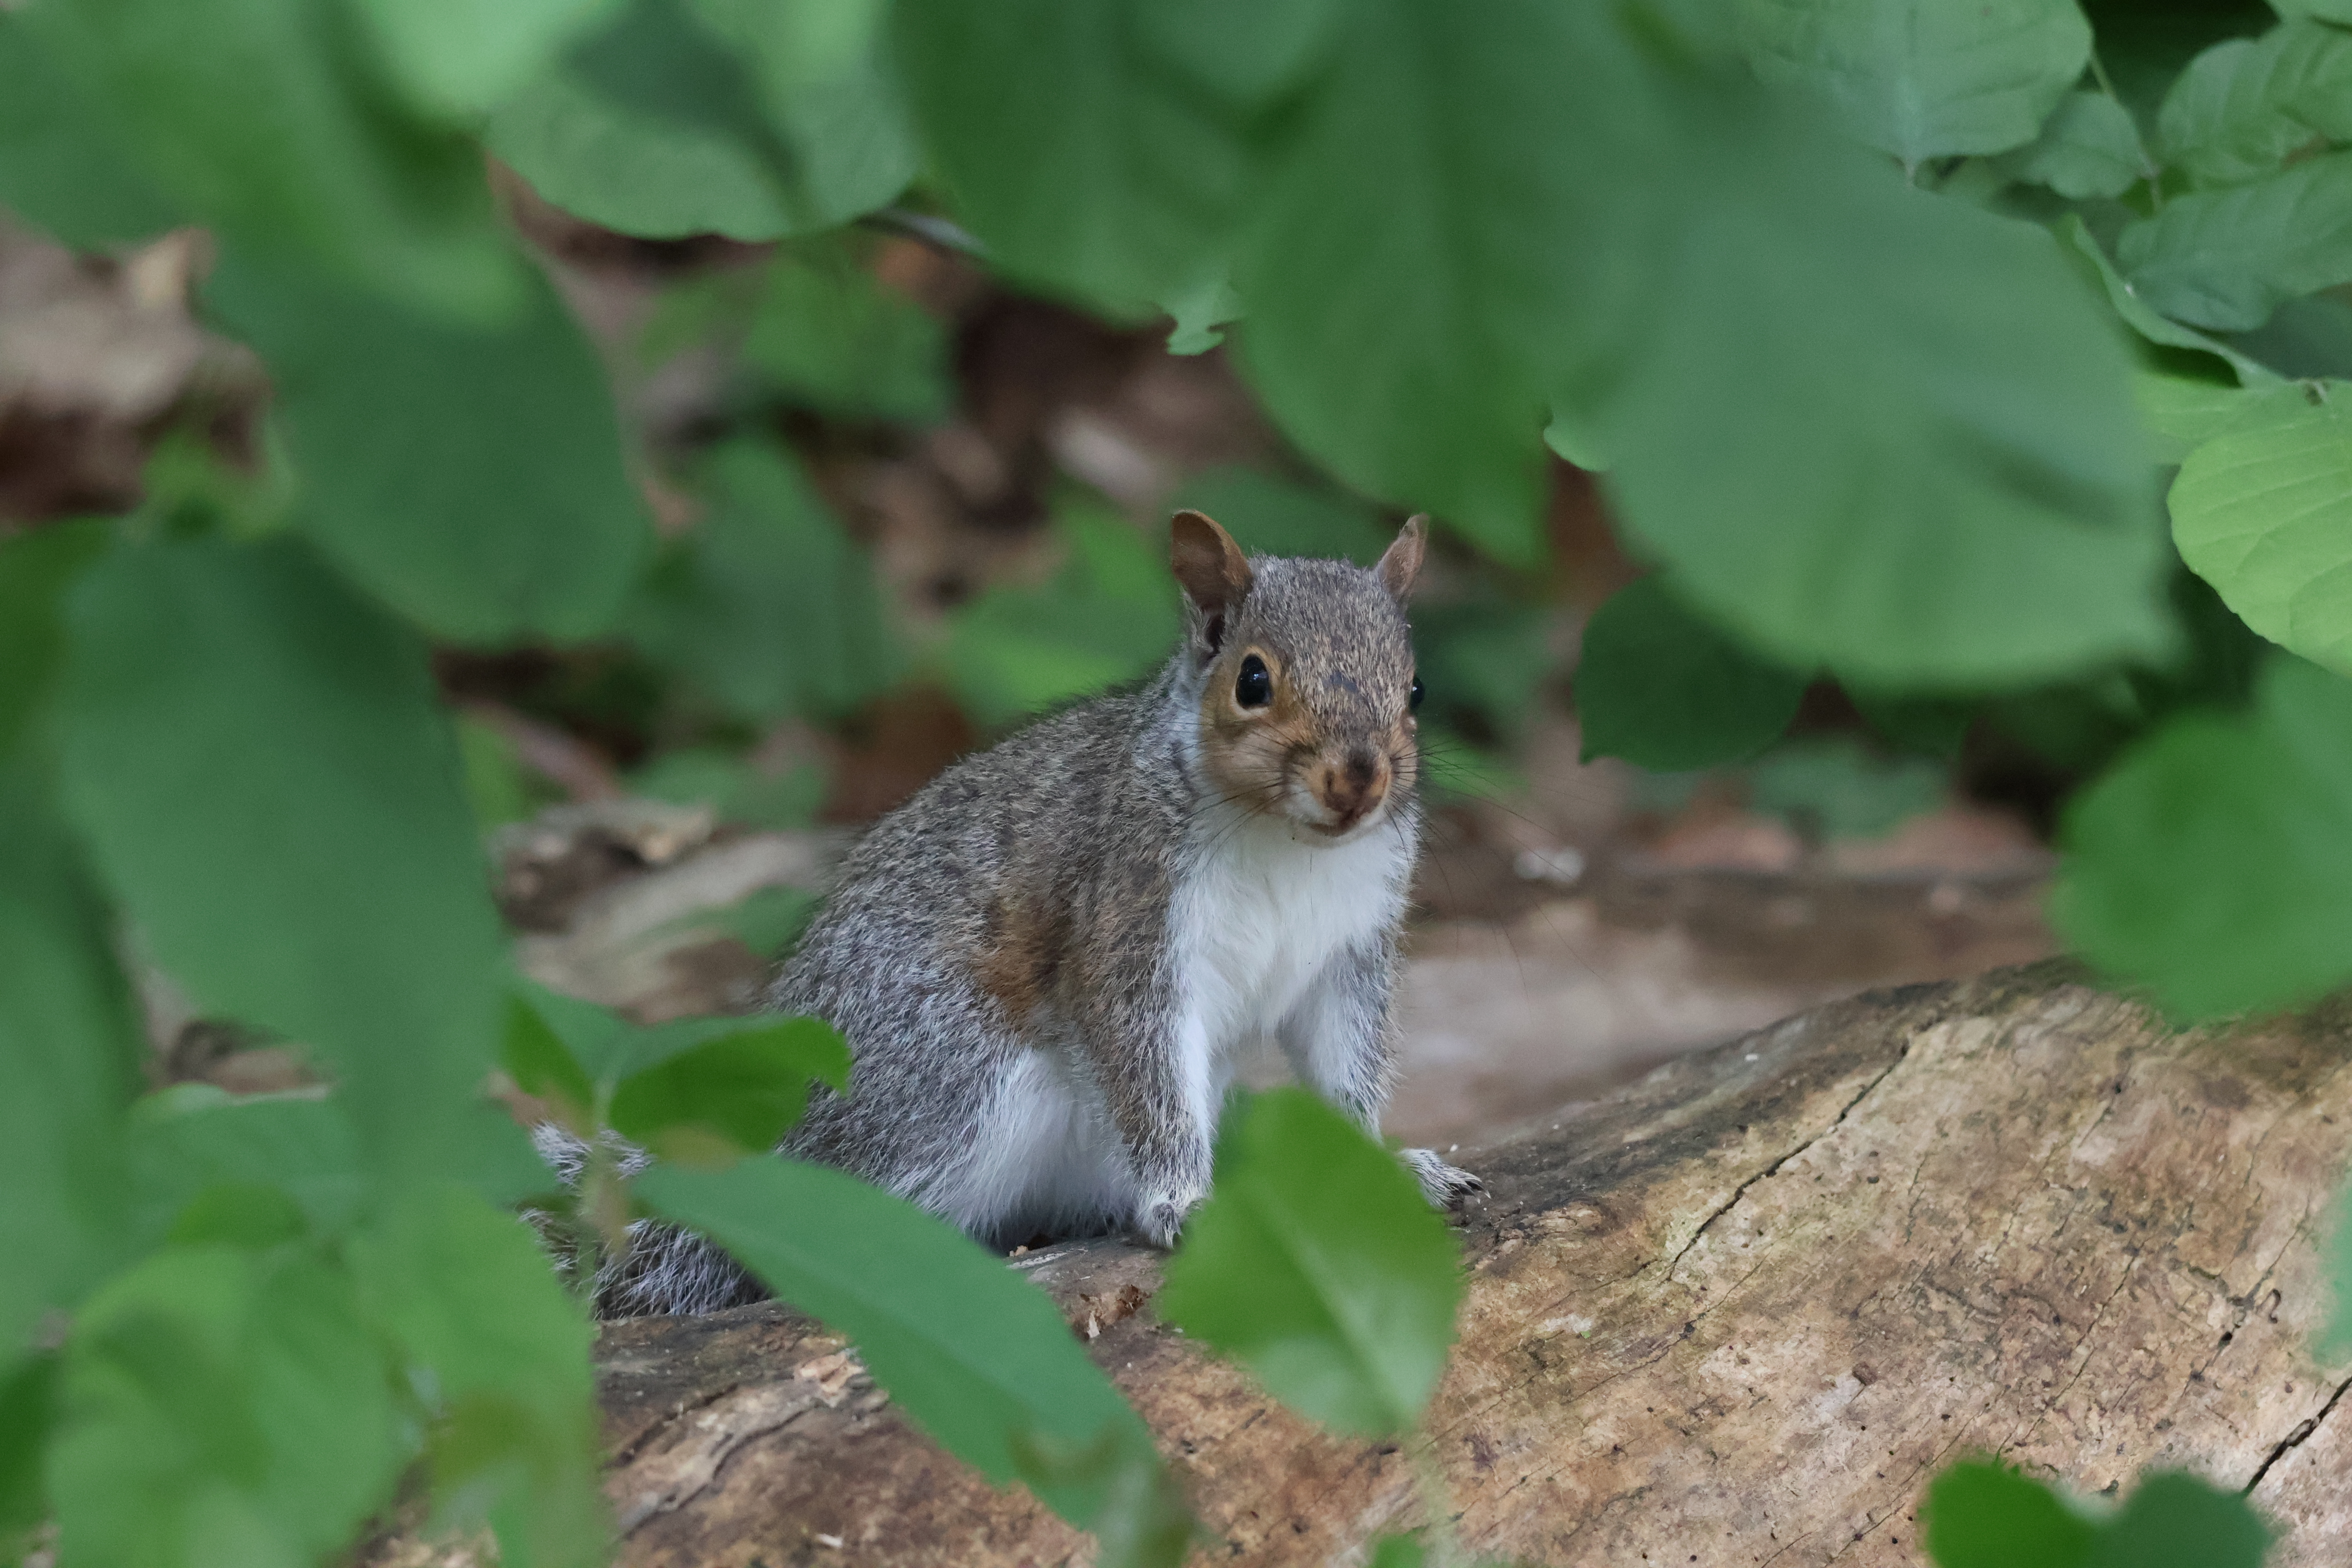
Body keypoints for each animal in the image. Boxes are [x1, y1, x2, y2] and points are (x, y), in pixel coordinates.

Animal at [582, 509, 1484, 1316]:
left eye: (1415, 687)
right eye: (1252, 680)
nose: (1358, 778)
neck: (1286, 842)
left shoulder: (1349, 955)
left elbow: (1344, 1067)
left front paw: (1393, 1171)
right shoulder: (1126, 922)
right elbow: (1144, 1069)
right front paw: (1183, 1201)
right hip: (947, 1078)